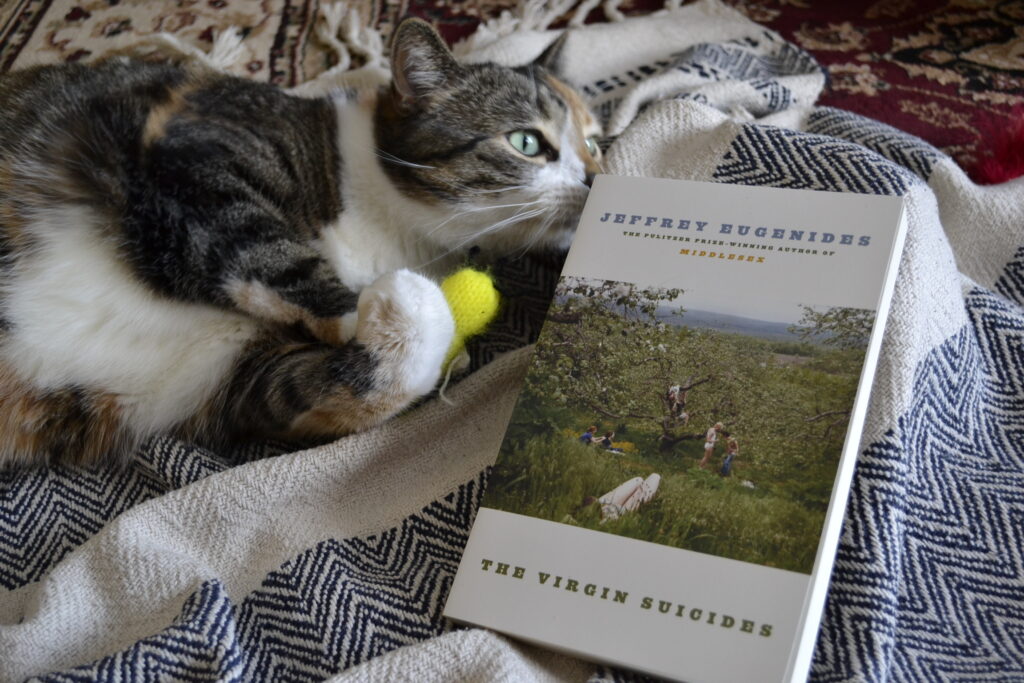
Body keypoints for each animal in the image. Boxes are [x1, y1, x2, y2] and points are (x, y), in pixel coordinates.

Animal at [0, 17, 598, 471]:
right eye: (527, 142)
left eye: (594, 142)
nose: (596, 176)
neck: (393, 226)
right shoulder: (198, 151)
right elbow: (264, 248)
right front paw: (370, 307)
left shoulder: (235, 378)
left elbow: (330, 394)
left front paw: (412, 324)